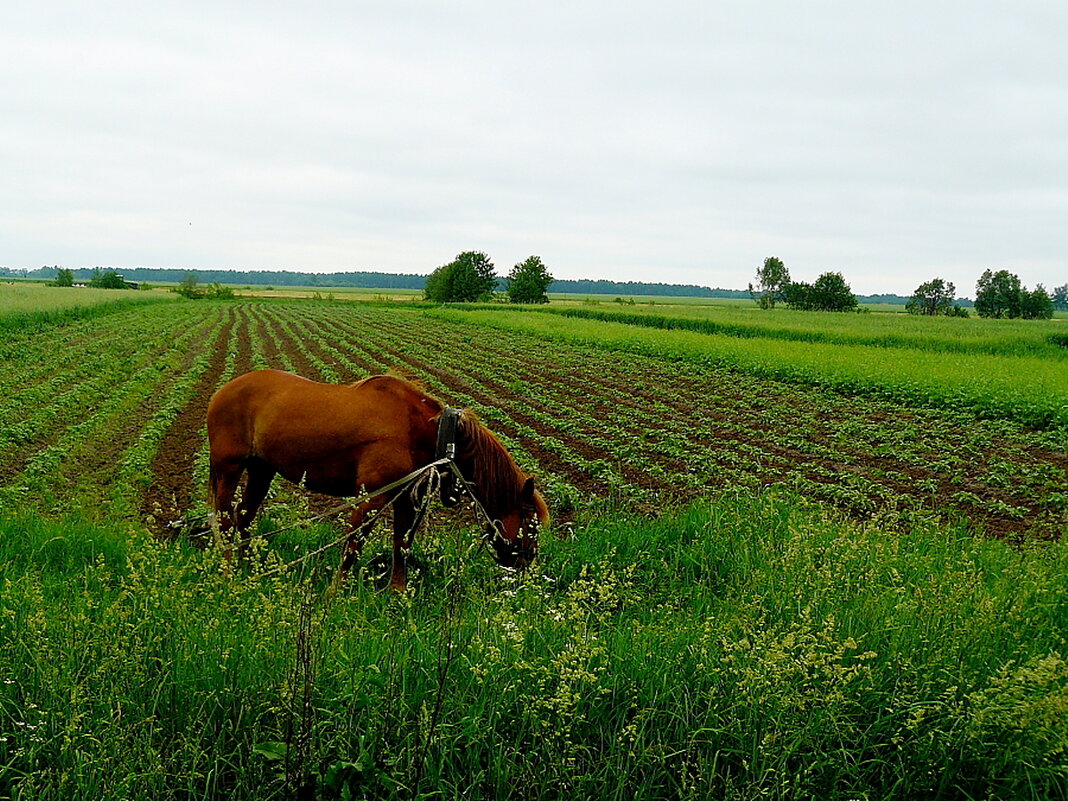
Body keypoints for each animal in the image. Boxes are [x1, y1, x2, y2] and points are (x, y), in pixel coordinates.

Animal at [203, 369, 546, 589]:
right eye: (530, 522)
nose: (527, 564)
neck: (419, 429)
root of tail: (222, 391)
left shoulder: (406, 498)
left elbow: (401, 545)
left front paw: (398, 595)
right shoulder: (373, 495)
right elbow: (354, 545)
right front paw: (336, 593)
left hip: (262, 470)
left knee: (244, 517)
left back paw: (248, 567)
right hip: (229, 467)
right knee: (225, 519)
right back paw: (228, 571)